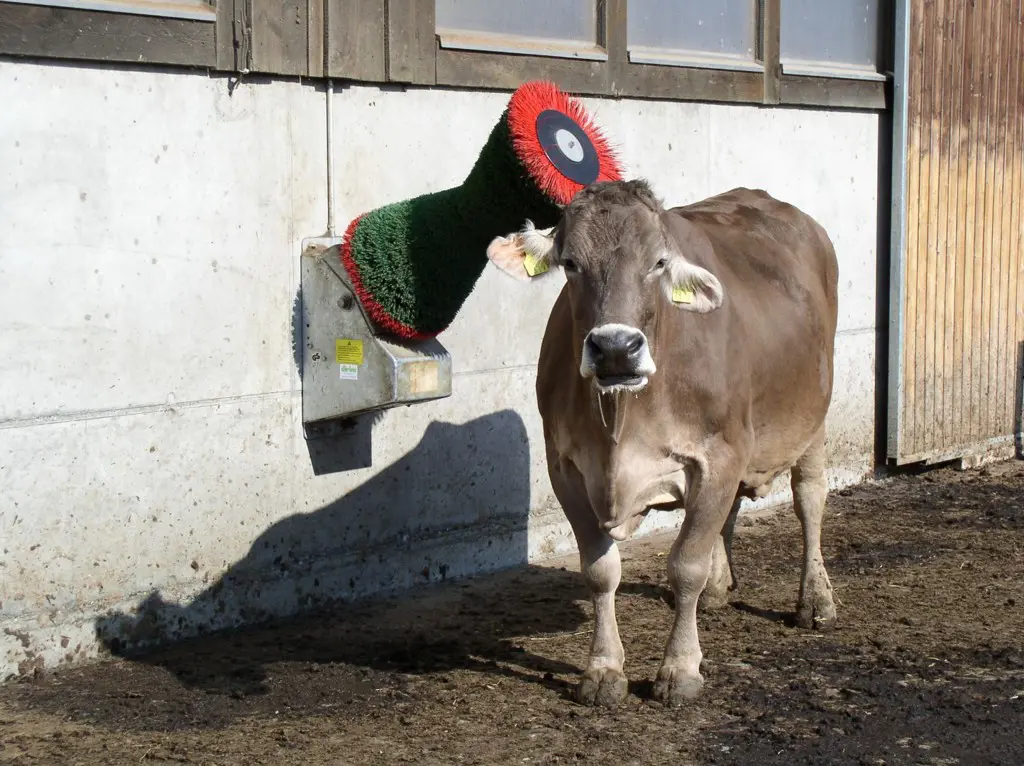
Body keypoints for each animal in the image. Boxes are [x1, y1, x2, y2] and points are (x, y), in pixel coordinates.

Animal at [486, 180, 839, 707]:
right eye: (570, 263)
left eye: (657, 263)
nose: (615, 349)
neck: (620, 420)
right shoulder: (565, 467)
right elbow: (600, 571)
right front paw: (603, 669)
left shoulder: (720, 454)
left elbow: (685, 564)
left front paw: (680, 668)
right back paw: (718, 589)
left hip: (813, 415)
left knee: (809, 500)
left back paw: (815, 599)